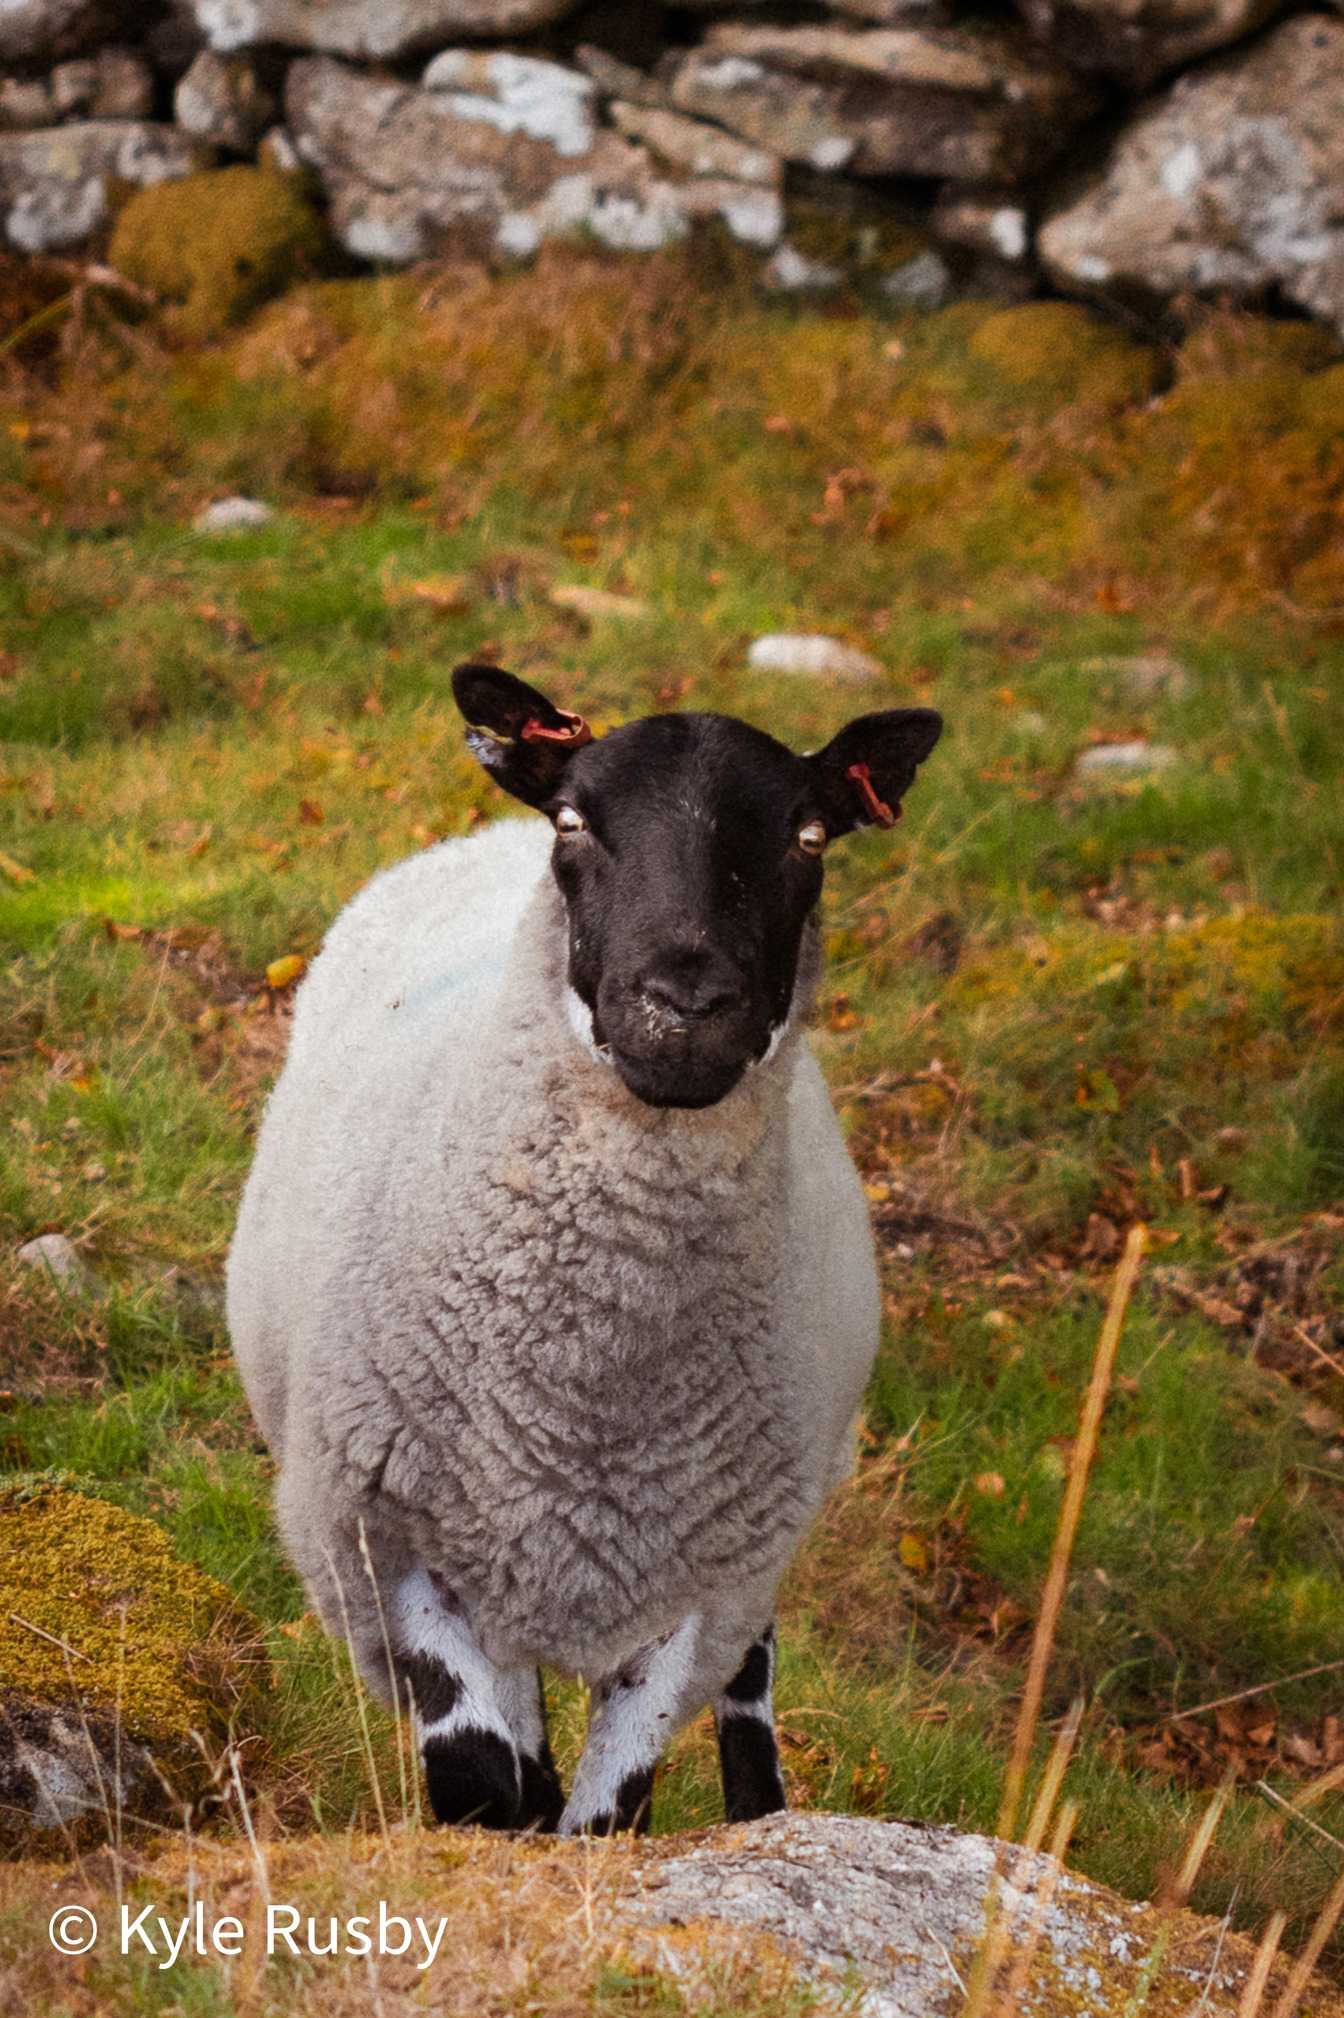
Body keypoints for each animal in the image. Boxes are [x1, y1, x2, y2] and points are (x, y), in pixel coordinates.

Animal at [226, 663, 943, 1835]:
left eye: (810, 837)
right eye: (573, 821)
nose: (685, 1005)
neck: (589, 1392)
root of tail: (475, 836)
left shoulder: (697, 1588)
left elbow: (609, 1816)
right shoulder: (400, 1547)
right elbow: (486, 1782)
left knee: (751, 1684)